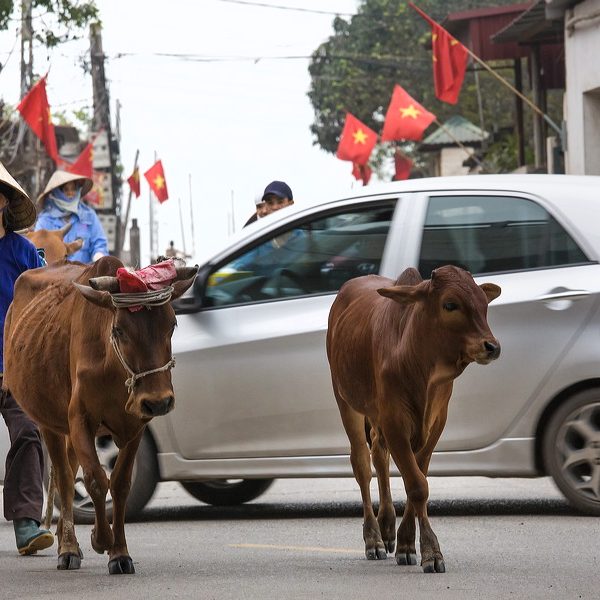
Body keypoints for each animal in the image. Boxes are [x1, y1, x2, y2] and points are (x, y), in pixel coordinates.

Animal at [3, 255, 198, 576]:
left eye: (172, 324)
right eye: (119, 330)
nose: (159, 402)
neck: (113, 368)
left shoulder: (135, 425)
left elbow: (120, 484)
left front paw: (119, 553)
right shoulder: (80, 420)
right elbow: (94, 480)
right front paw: (99, 538)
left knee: (69, 472)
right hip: (49, 423)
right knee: (65, 480)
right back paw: (68, 548)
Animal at [326, 266, 500, 572]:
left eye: (483, 303)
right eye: (450, 304)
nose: (491, 346)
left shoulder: (436, 423)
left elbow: (416, 479)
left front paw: (407, 543)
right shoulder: (395, 421)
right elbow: (417, 486)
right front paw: (431, 551)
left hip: (376, 416)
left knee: (379, 455)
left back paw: (387, 528)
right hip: (345, 400)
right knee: (362, 465)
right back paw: (374, 539)